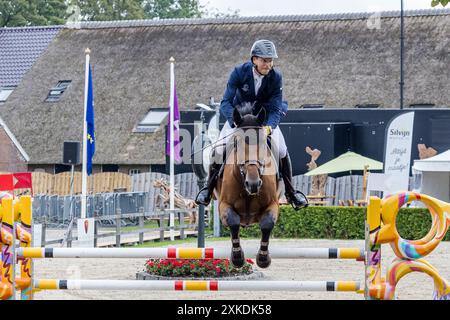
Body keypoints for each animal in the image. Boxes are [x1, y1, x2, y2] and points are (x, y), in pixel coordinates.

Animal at [214, 103, 282, 268]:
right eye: (237, 142)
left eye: (263, 142)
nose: (253, 184)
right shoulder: (223, 205)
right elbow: (233, 222)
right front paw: (237, 257)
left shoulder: (273, 204)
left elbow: (267, 224)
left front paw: (263, 258)